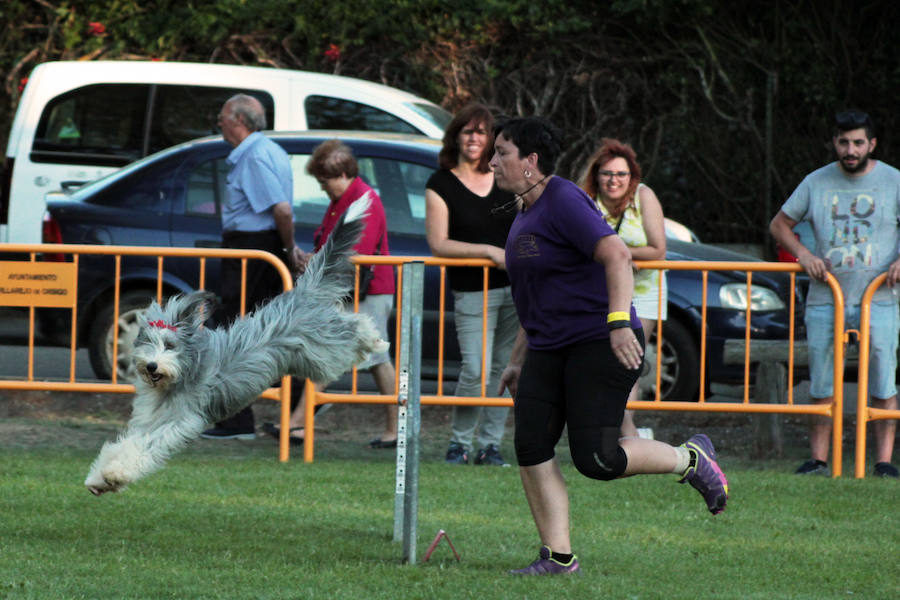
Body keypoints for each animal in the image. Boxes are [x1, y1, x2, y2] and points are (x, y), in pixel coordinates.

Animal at [85, 199, 390, 494]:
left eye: (170, 346)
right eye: (147, 343)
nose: (151, 365)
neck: (181, 374)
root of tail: (300, 295)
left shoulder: (180, 420)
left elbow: (145, 447)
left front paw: (115, 474)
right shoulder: (150, 420)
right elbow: (124, 444)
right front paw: (99, 479)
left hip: (323, 350)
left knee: (354, 325)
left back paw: (374, 338)